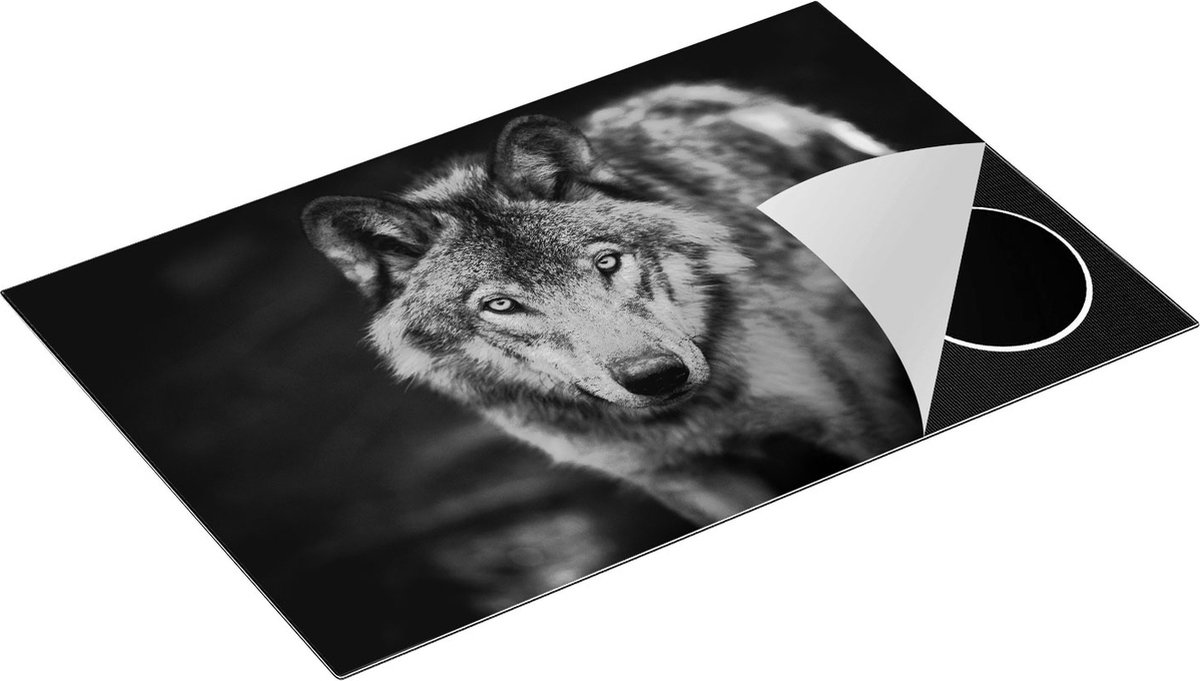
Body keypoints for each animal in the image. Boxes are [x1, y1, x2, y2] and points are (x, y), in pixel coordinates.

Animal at [302, 84, 921, 525]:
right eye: (500, 305)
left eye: (606, 262)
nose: (656, 376)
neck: (689, 419)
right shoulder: (685, 480)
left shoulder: (854, 420)